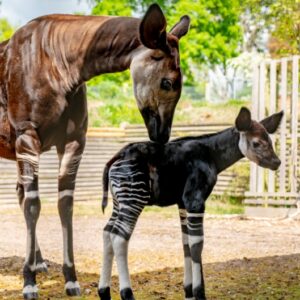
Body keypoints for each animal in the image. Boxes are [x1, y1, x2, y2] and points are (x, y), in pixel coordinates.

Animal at [99, 108, 284, 300]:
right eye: (256, 143)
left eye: (270, 141)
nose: (276, 162)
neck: (211, 154)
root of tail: (118, 155)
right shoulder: (195, 200)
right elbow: (197, 245)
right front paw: (199, 292)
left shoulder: (182, 204)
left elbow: (186, 243)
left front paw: (188, 290)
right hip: (134, 199)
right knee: (119, 238)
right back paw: (127, 293)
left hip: (119, 202)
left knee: (107, 233)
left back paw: (104, 292)